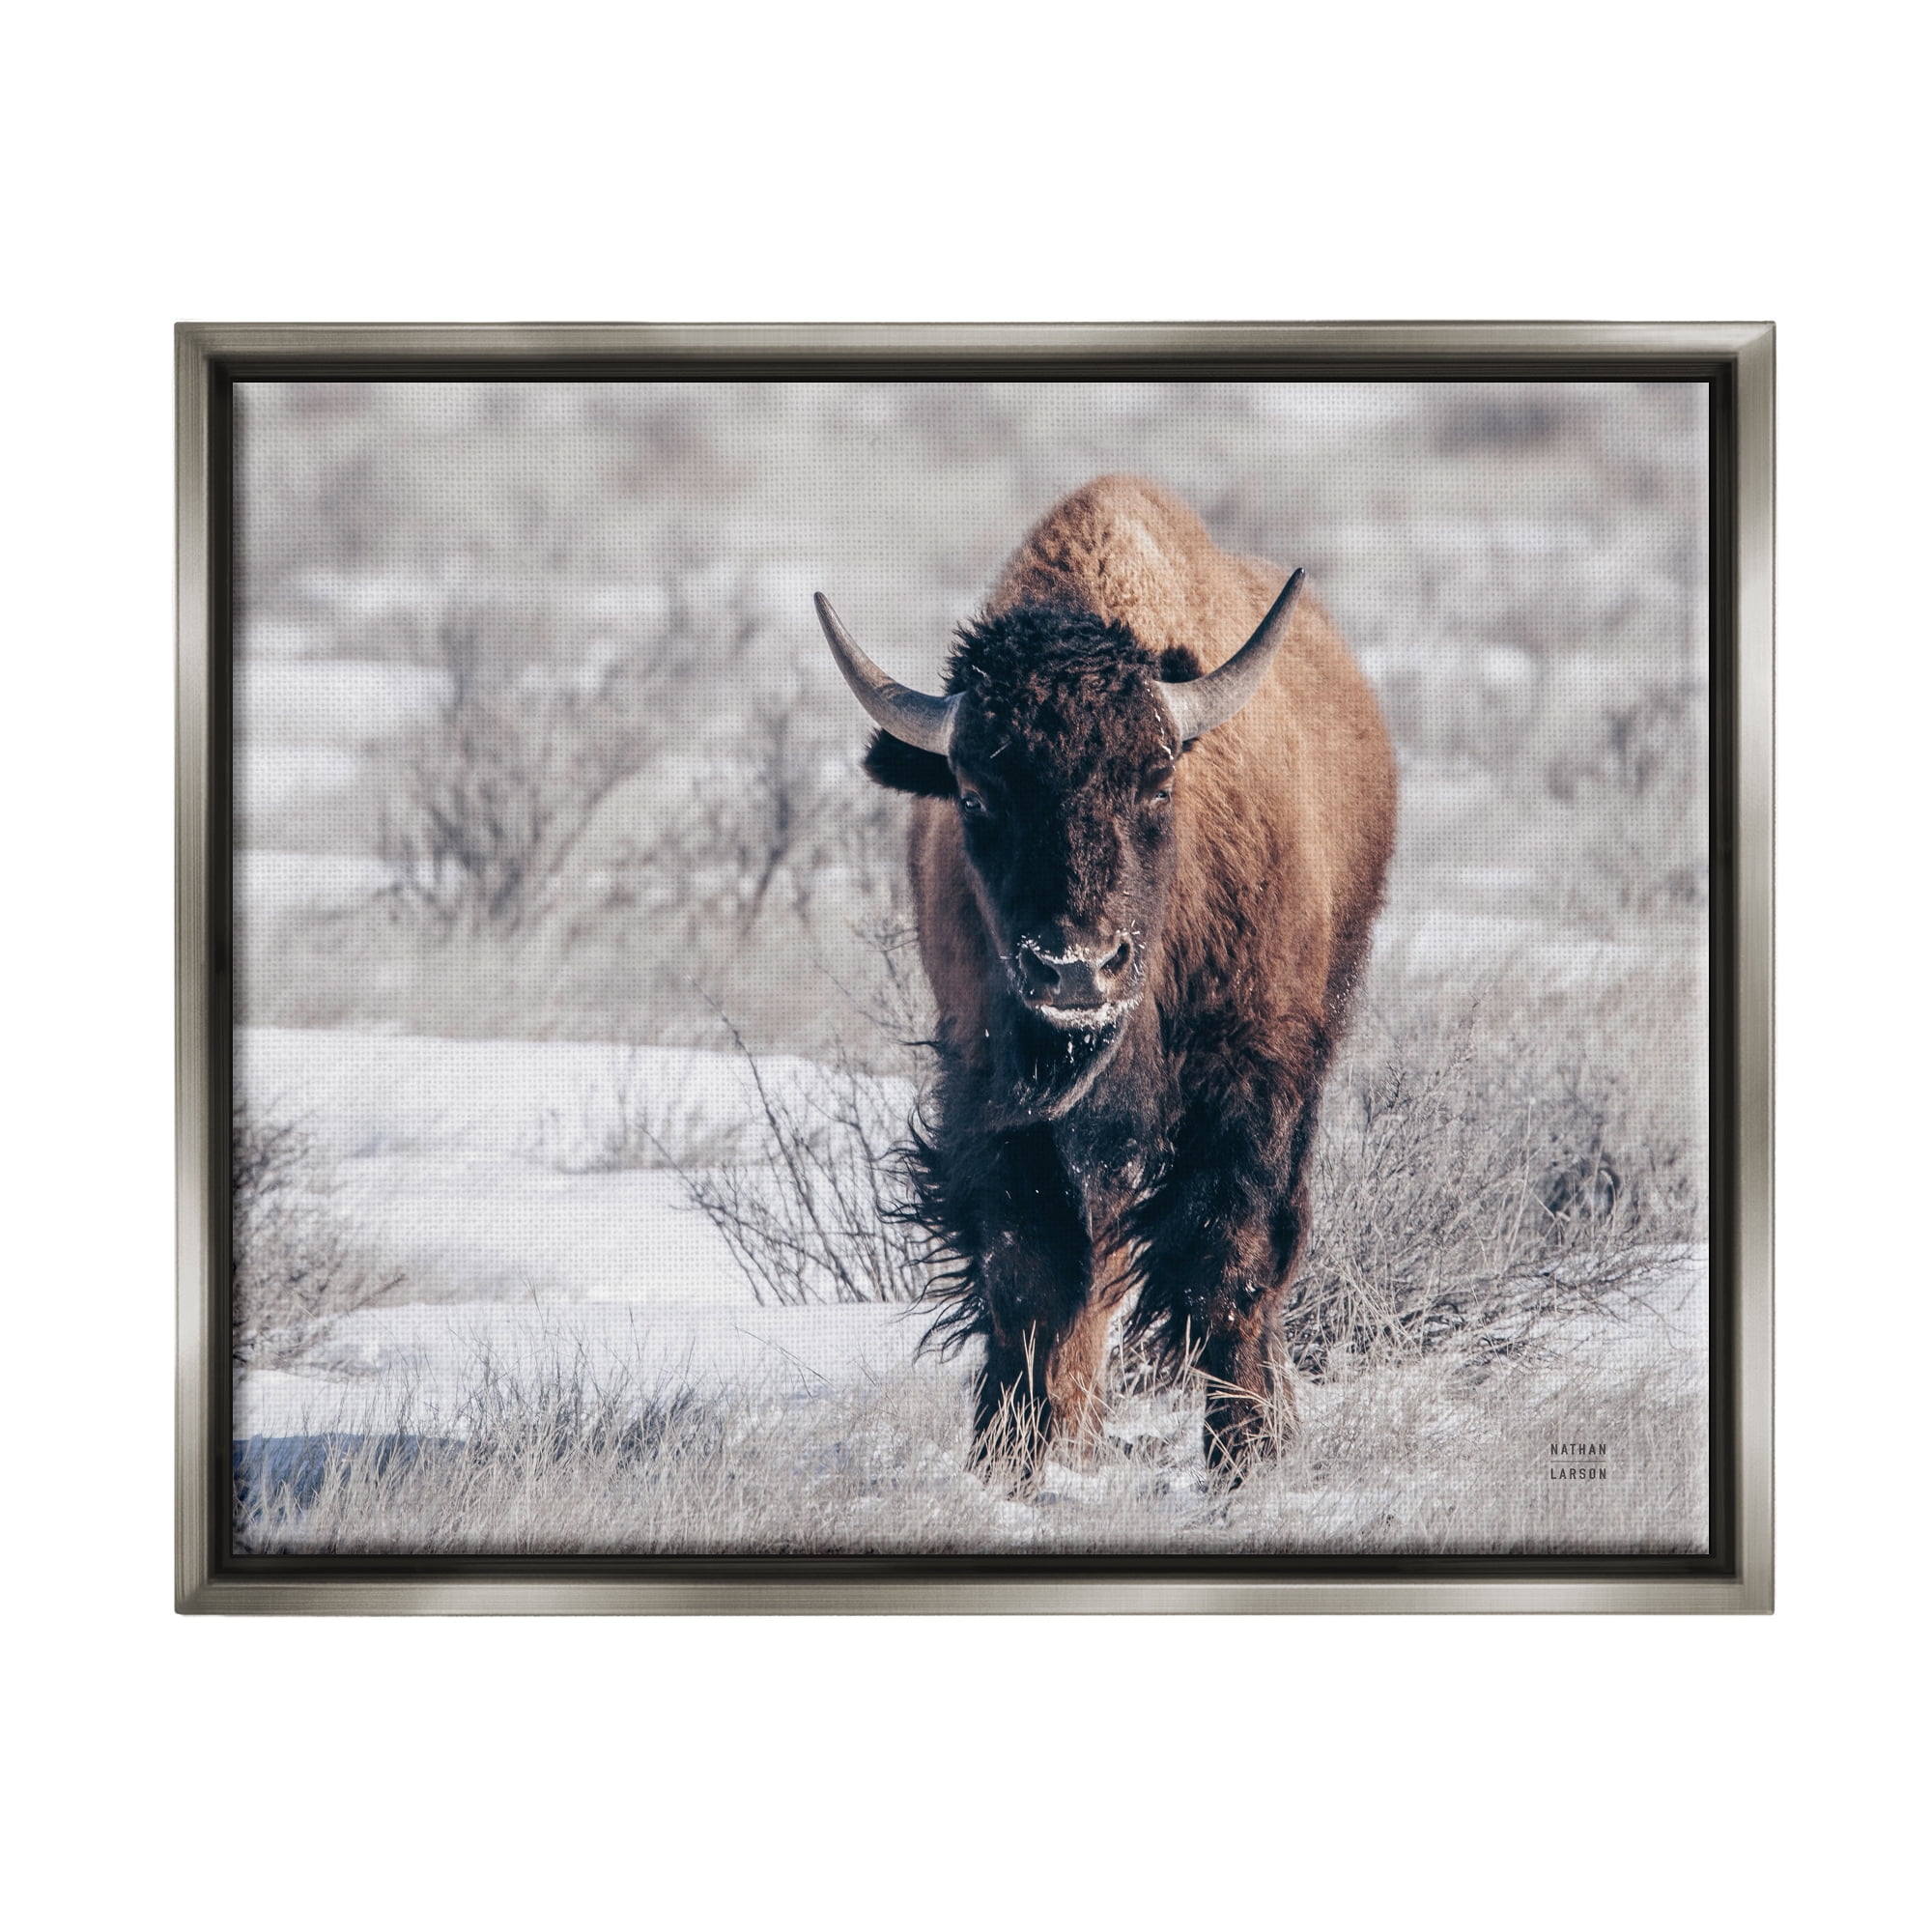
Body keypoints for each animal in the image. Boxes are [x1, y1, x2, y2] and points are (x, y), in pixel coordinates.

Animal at [817, 476, 1397, 1474]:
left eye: (1157, 783)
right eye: (975, 795)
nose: (1076, 969)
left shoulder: (1253, 1080)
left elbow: (1230, 1263)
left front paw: (1247, 1454)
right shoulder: (992, 1091)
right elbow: (1028, 1274)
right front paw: (1008, 1458)